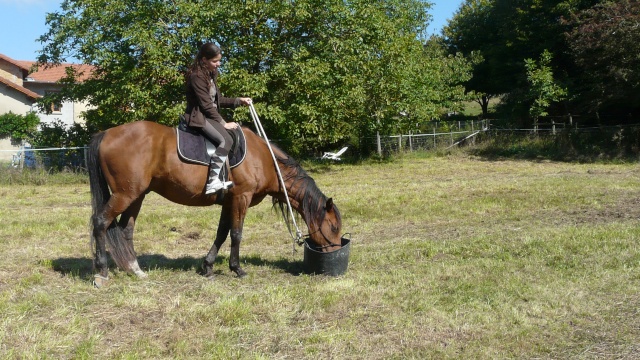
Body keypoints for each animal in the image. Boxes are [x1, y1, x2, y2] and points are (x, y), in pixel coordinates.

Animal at [89, 121, 344, 286]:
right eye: (333, 227)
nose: (335, 252)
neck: (264, 158)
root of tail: (107, 133)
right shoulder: (241, 198)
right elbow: (237, 234)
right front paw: (237, 268)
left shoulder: (229, 202)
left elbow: (222, 233)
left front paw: (208, 266)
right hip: (125, 194)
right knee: (101, 222)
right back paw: (102, 271)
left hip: (136, 195)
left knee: (126, 230)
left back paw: (135, 269)